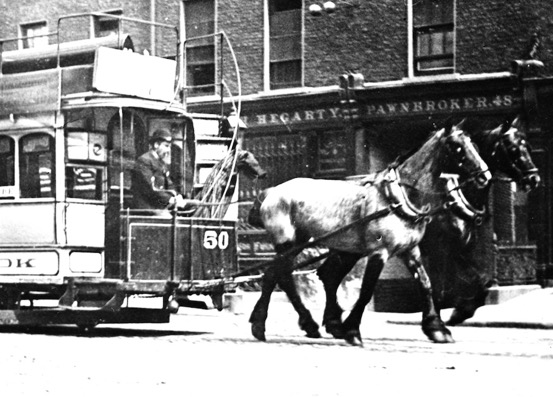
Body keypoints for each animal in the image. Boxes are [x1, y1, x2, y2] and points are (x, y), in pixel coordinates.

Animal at [248, 122, 490, 344]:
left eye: (475, 144)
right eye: (456, 147)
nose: (484, 177)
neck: (399, 197)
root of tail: (271, 191)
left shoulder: (411, 250)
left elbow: (426, 283)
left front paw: (436, 328)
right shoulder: (378, 252)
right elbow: (366, 290)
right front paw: (352, 331)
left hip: (302, 241)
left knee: (276, 275)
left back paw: (276, 324)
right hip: (287, 243)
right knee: (283, 277)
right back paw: (288, 324)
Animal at [314, 115, 540, 340]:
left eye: (528, 146)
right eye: (512, 148)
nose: (534, 178)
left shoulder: (461, 246)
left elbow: (481, 281)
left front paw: (460, 312)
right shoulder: (439, 247)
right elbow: (438, 287)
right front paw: (437, 321)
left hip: (350, 249)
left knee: (329, 274)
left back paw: (333, 322)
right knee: (330, 275)